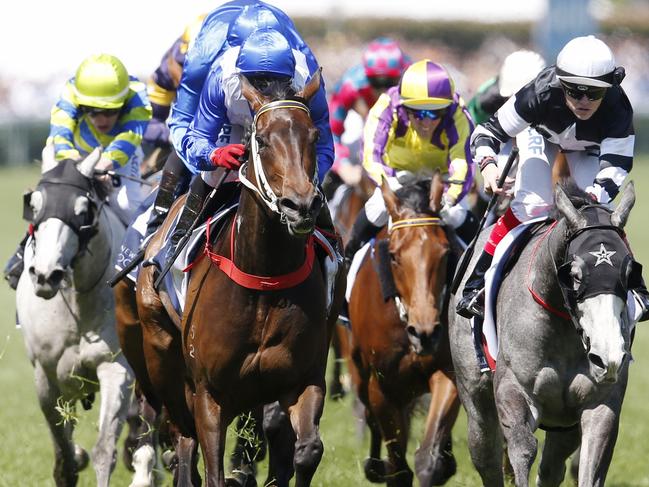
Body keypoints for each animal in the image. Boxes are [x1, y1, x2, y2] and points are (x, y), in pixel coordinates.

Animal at [15, 149, 133, 487]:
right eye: (35, 205)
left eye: (82, 210)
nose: (46, 275)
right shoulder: (47, 377)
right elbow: (65, 457)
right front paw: (73, 460)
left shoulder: (117, 368)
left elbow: (104, 450)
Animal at [346, 173, 458, 486]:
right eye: (394, 256)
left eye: (445, 252)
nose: (425, 332)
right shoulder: (383, 386)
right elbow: (398, 469)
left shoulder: (446, 370)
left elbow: (427, 459)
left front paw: (437, 462)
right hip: (359, 371)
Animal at [448, 180, 636, 487]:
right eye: (574, 274)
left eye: (630, 271)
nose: (607, 357)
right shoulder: (513, 391)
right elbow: (522, 450)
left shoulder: (600, 405)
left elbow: (590, 465)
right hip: (475, 400)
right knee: (485, 455)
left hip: (564, 425)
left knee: (552, 467)